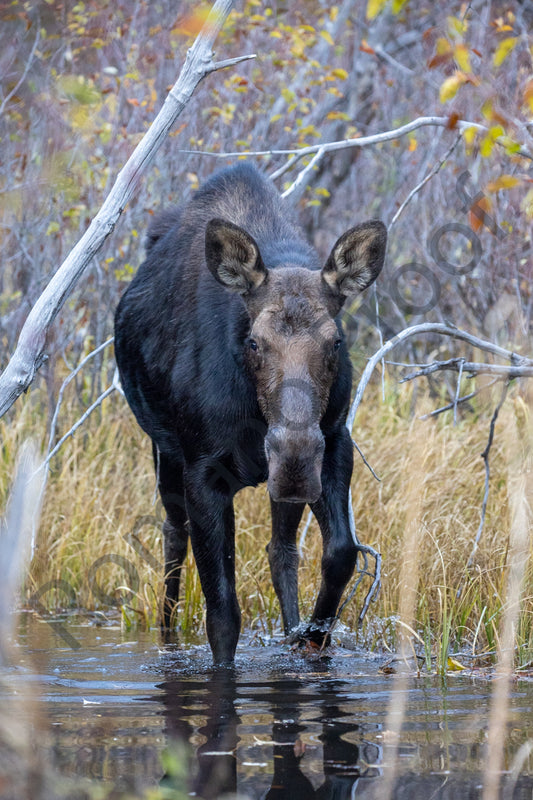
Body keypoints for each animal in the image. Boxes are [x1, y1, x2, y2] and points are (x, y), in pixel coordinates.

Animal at [114, 162, 384, 664]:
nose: (293, 458)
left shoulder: (335, 442)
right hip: (163, 454)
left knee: (281, 550)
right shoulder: (202, 470)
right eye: (254, 342)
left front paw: (313, 636)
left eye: (336, 341)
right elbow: (223, 615)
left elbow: (340, 552)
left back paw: (292, 627)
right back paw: (165, 637)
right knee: (172, 537)